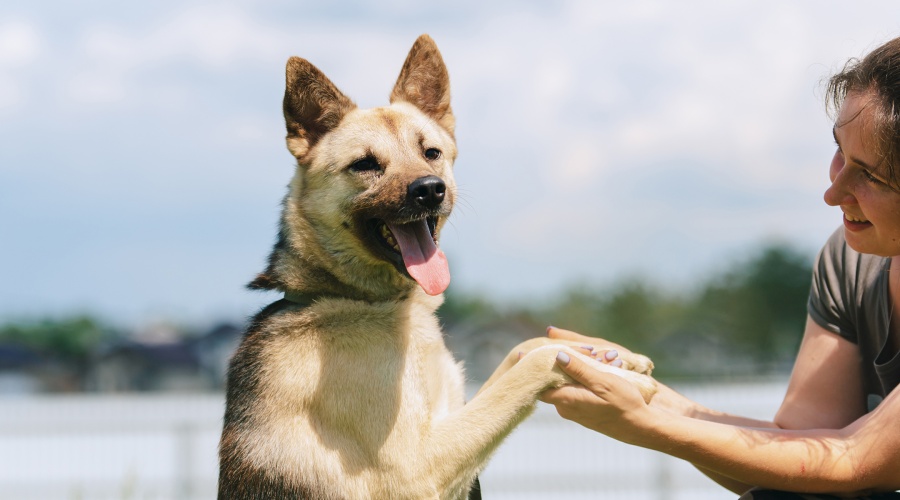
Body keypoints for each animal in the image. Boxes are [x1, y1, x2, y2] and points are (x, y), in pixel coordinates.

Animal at [218, 34, 657, 500]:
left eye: (431, 153)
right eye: (365, 164)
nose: (430, 189)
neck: (357, 297)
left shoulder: (453, 411)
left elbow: (526, 348)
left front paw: (614, 356)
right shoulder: (417, 468)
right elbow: (531, 367)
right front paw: (616, 375)